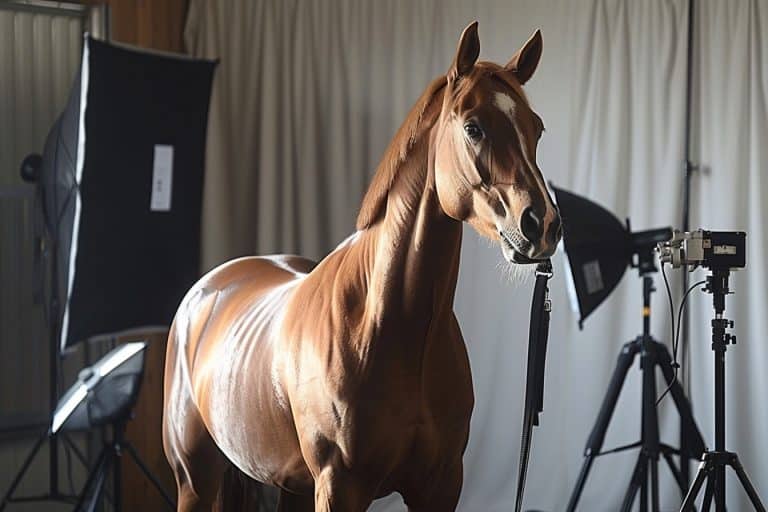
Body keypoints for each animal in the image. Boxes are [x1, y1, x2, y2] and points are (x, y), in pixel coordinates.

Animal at [163, 22, 562, 512]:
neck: (387, 326)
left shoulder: (442, 485)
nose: (541, 224)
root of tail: (206, 290)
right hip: (195, 480)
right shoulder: (340, 487)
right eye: (473, 127)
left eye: (536, 128)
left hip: (290, 486)